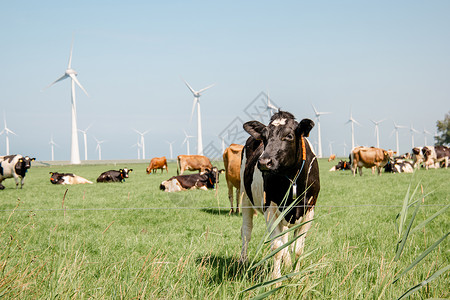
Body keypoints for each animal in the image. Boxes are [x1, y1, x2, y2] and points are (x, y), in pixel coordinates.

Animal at [239, 111, 320, 280]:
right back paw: (243, 261)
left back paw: (287, 263)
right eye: (264, 137)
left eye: (289, 136)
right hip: (245, 197)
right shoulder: (270, 208)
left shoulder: (309, 210)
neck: (292, 179)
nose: (264, 162)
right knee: (246, 232)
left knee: (285, 238)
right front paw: (276, 279)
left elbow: (298, 248)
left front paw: (295, 276)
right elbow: (276, 247)